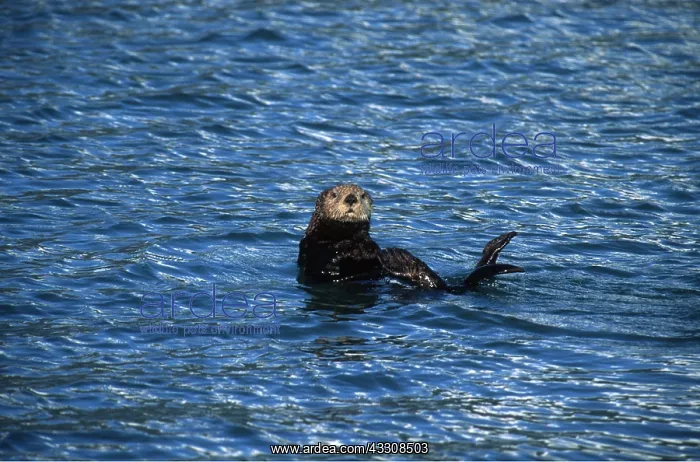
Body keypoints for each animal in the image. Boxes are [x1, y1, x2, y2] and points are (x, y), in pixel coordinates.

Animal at [297, 184, 524, 290]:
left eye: (362, 195)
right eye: (334, 195)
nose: (351, 198)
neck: (346, 237)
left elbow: (370, 248)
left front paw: (366, 250)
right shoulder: (313, 247)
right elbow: (327, 261)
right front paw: (345, 252)